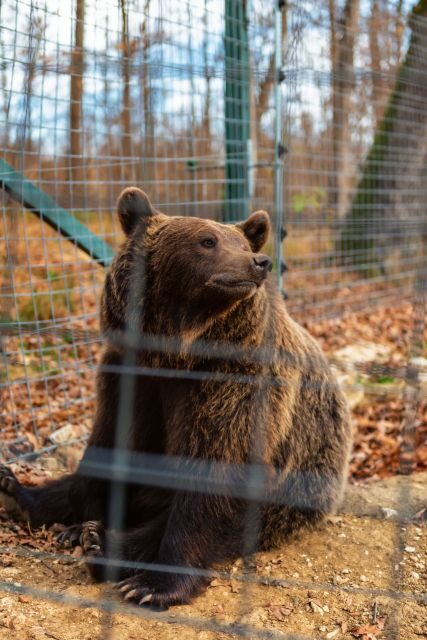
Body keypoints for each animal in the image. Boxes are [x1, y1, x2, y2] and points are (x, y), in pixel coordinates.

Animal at [0, 187, 352, 608]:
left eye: (242, 242)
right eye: (208, 240)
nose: (259, 262)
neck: (179, 348)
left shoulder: (236, 387)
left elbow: (211, 476)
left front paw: (154, 585)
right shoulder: (129, 376)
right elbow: (108, 445)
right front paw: (75, 514)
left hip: (291, 493)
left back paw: (102, 545)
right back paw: (21, 494)